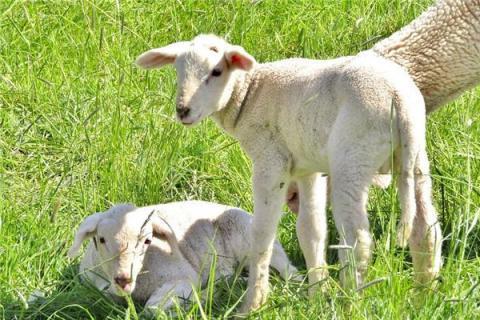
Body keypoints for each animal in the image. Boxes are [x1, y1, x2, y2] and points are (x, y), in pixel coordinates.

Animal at [68, 201, 298, 312]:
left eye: (147, 241)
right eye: (101, 239)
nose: (123, 279)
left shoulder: (183, 277)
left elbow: (153, 309)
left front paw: (198, 300)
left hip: (253, 238)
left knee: (288, 271)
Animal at [135, 34, 442, 312]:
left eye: (216, 71)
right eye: (178, 70)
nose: (183, 110)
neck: (248, 95)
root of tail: (399, 100)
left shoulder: (271, 161)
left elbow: (262, 233)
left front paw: (254, 304)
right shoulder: (307, 169)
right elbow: (311, 230)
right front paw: (316, 294)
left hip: (353, 156)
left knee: (358, 239)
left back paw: (350, 303)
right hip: (414, 156)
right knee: (425, 226)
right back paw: (423, 295)